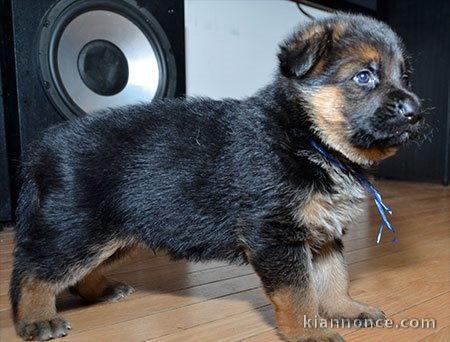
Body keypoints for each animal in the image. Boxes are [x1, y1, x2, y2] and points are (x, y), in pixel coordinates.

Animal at [12, 14, 424, 342]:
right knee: (34, 271)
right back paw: (35, 319)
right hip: (79, 229)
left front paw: (345, 309)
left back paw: (100, 291)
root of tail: (44, 147)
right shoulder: (276, 233)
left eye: (405, 77)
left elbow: (334, 277)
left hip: (119, 231)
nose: (415, 112)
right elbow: (299, 291)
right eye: (364, 76)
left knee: (76, 272)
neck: (309, 138)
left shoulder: (322, 231)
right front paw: (309, 332)